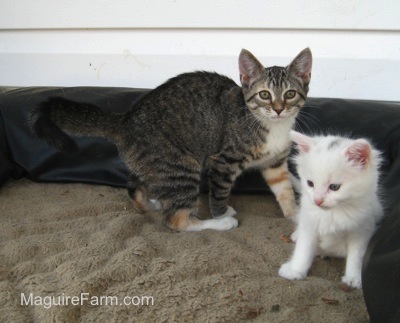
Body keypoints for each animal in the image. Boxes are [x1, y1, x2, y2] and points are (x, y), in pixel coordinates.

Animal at [30, 47, 312, 233]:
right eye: (264, 95)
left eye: (289, 94)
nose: (278, 109)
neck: (270, 126)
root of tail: (126, 119)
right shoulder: (223, 161)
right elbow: (219, 193)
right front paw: (221, 212)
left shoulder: (275, 163)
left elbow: (284, 190)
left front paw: (296, 216)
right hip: (180, 164)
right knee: (176, 221)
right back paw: (217, 223)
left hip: (156, 165)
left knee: (135, 187)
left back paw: (152, 202)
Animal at [278, 130, 384, 290]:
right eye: (310, 183)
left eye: (334, 187)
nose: (317, 200)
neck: (332, 214)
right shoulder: (309, 223)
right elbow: (303, 249)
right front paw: (295, 270)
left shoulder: (363, 230)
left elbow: (356, 256)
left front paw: (354, 278)